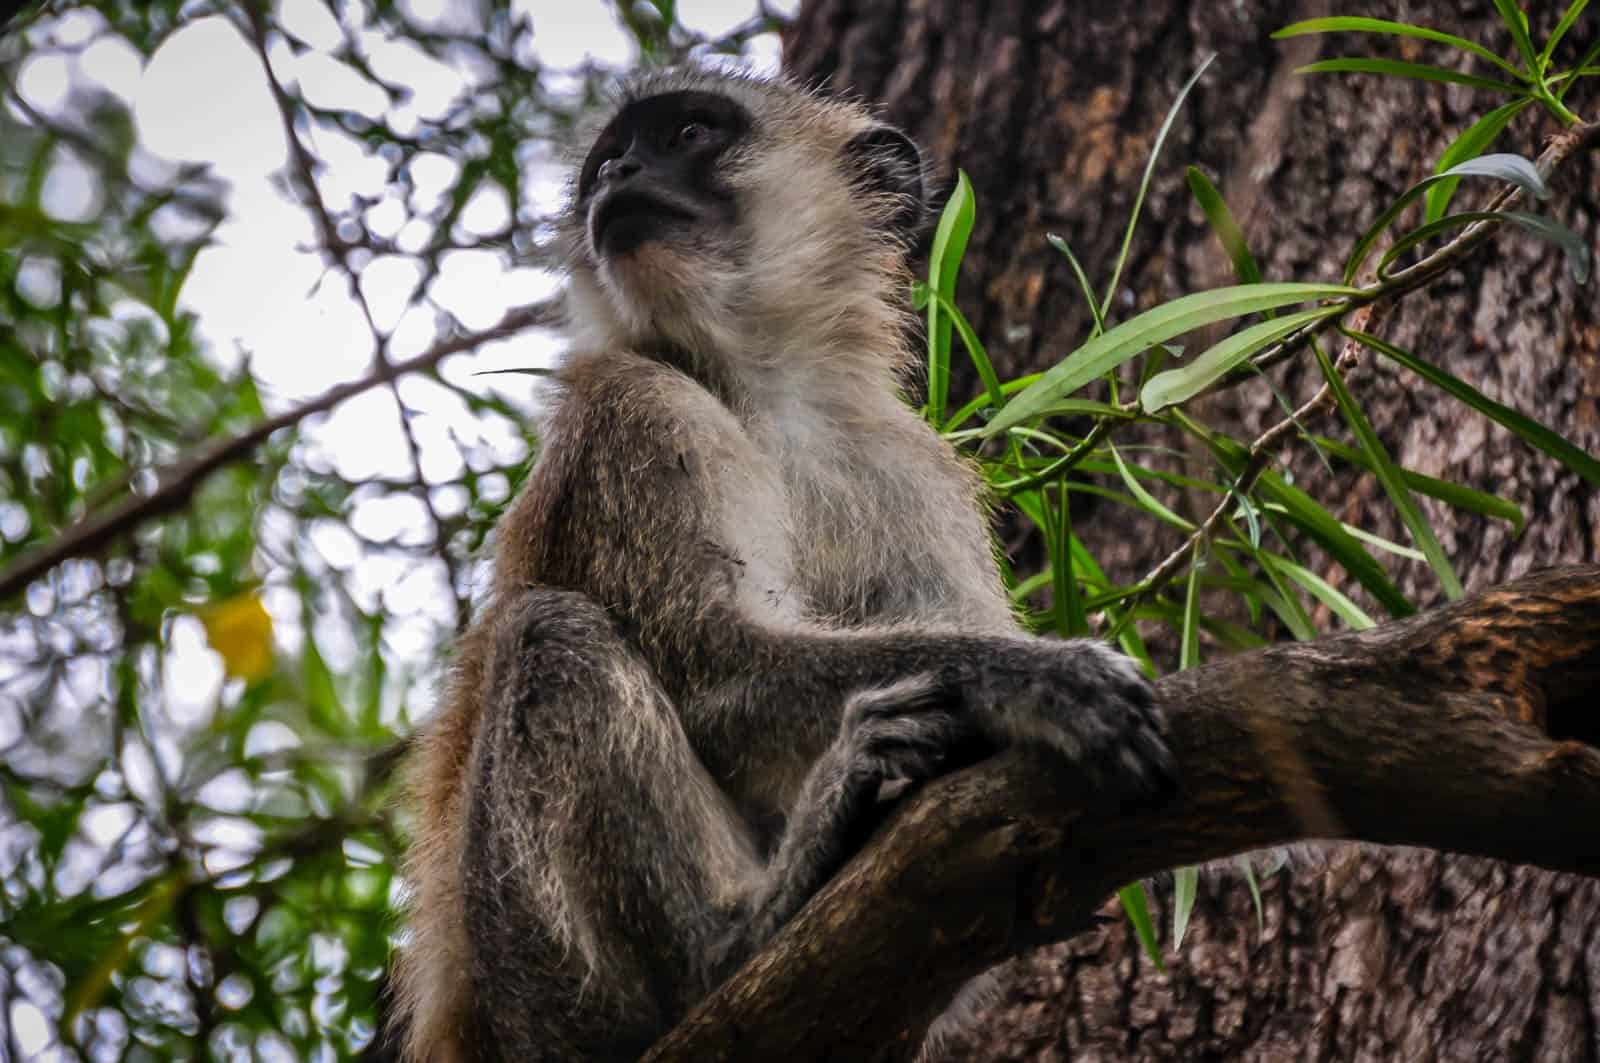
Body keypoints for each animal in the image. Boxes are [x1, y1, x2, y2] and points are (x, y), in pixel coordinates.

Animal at [392, 68, 1171, 1062]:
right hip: (538, 988)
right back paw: (731, 941)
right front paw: (1034, 679)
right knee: (552, 636)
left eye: (691, 133)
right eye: (609, 161)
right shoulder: (634, 412)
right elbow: (712, 664)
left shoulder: (907, 465)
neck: (765, 391)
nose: (623, 177)